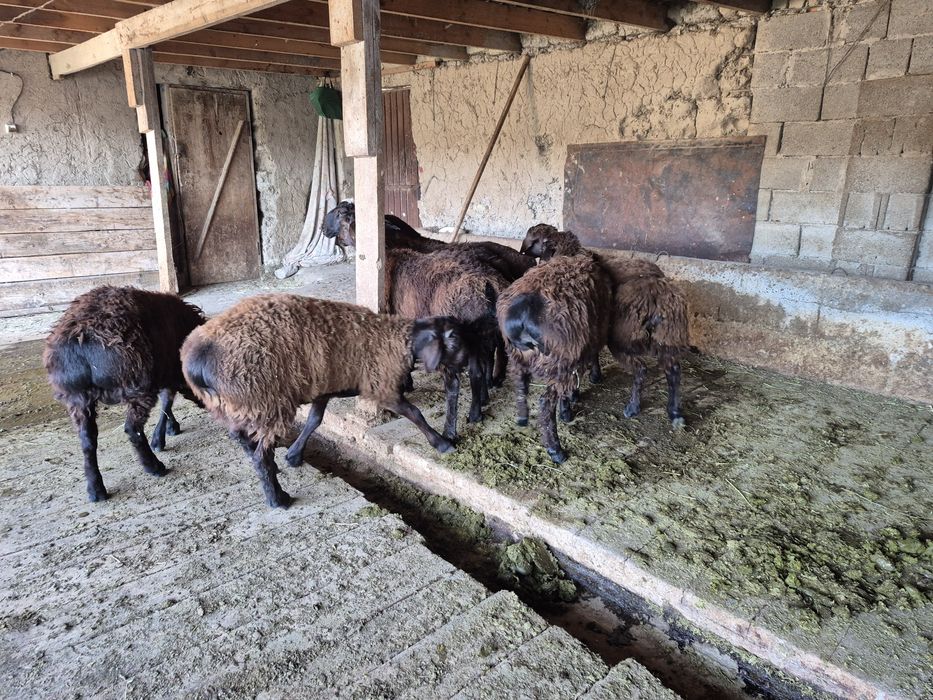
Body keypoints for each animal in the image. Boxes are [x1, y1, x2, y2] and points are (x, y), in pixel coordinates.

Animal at [43, 286, 206, 502]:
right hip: (136, 384)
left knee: (87, 440)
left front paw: (169, 429)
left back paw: (96, 489)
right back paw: (154, 467)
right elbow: (167, 400)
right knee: (131, 429)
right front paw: (162, 437)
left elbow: (167, 401)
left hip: (77, 397)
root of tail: (81, 339)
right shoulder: (167, 370)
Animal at [181, 294, 467, 508]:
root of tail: (196, 361)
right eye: (454, 338)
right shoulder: (382, 386)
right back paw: (278, 499)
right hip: (266, 402)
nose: (464, 368)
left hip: (239, 405)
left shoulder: (325, 388)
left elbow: (314, 421)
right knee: (261, 455)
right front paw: (442, 443)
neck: (398, 340)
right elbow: (415, 412)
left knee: (240, 438)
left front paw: (294, 455)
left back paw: (270, 471)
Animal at [521, 226, 689, 426]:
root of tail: (655, 294)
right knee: (674, 371)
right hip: (668, 336)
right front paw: (594, 377)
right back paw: (675, 413)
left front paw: (576, 395)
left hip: (622, 338)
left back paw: (632, 408)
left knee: (641, 369)